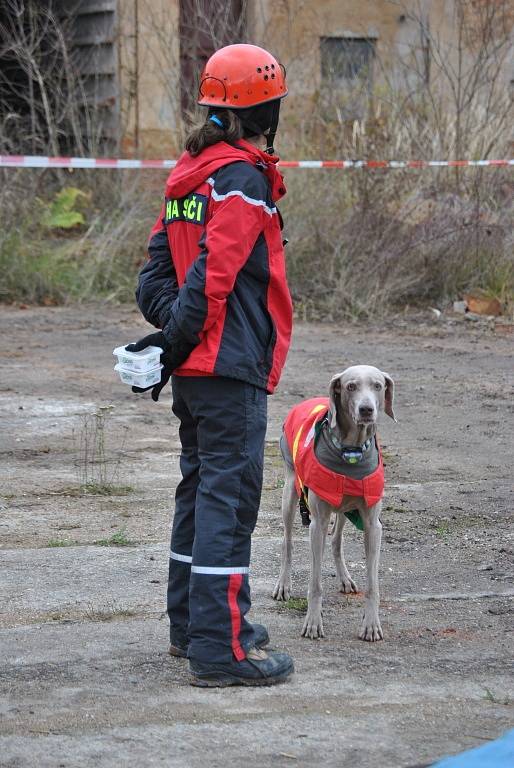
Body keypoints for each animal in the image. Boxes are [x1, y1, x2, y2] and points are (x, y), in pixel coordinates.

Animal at [272, 366, 396, 640]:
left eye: (378, 386)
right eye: (350, 386)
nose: (366, 410)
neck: (351, 451)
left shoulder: (373, 525)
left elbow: (373, 584)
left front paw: (371, 624)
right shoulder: (316, 523)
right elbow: (315, 583)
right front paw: (313, 622)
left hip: (344, 508)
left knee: (337, 541)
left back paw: (345, 579)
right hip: (290, 493)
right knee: (287, 542)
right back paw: (283, 584)